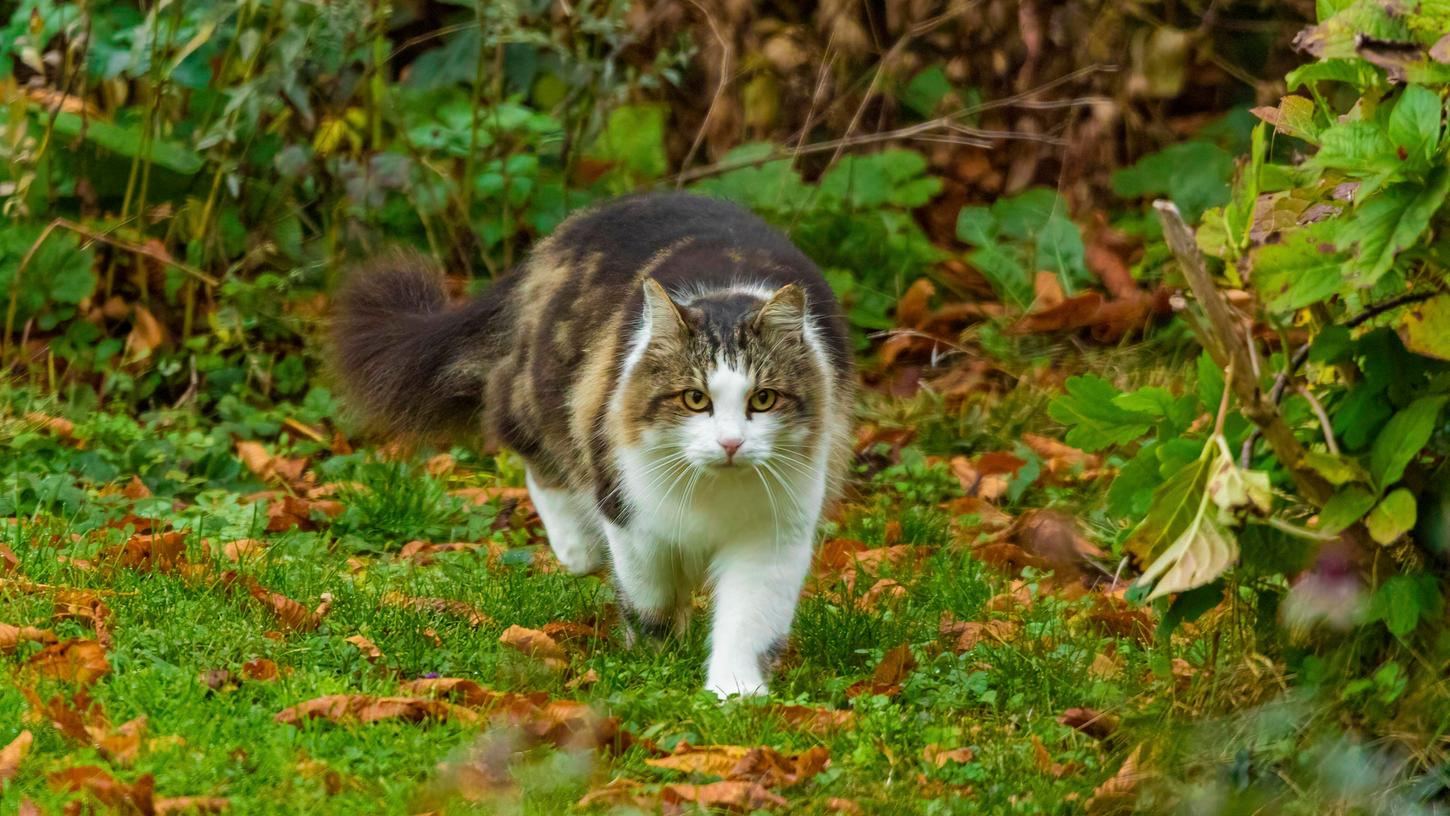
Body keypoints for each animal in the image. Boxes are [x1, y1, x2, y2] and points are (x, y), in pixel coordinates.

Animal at [333, 191, 852, 695]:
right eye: (695, 399)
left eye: (763, 399)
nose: (730, 444)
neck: (713, 496)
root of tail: (582, 220)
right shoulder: (632, 518)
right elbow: (650, 603)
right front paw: (658, 660)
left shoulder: (771, 536)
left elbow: (747, 624)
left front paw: (736, 693)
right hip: (542, 395)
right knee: (525, 442)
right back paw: (578, 546)